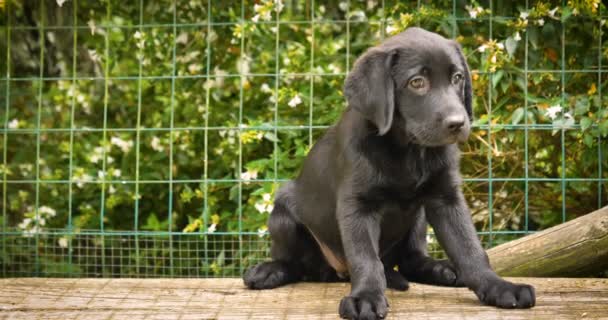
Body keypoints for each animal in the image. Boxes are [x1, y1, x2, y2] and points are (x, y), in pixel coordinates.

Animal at [245, 28, 536, 320]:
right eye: (417, 82)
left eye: (457, 78)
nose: (458, 123)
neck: (409, 151)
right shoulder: (357, 206)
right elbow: (365, 258)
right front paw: (365, 297)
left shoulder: (447, 198)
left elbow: (470, 248)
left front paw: (497, 286)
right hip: (282, 213)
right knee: (296, 264)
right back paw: (269, 271)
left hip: (417, 216)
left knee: (410, 259)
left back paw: (441, 269)